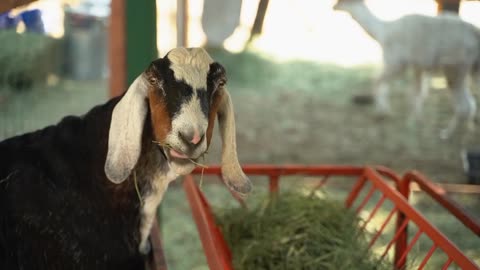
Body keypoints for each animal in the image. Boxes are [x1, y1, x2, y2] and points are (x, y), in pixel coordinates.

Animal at [334, 0, 480, 139]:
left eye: (341, 1)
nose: (333, 7)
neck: (383, 32)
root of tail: (475, 34)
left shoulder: (396, 62)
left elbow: (378, 81)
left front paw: (383, 112)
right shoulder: (417, 66)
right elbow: (417, 93)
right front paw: (415, 121)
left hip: (455, 67)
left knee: (464, 106)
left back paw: (446, 134)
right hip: (462, 70)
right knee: (471, 103)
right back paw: (468, 130)